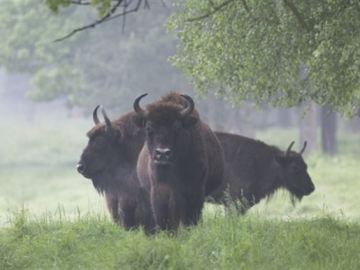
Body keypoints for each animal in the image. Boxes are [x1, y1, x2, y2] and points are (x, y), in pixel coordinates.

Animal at [135, 92, 225, 230]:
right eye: (149, 127)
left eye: (177, 126)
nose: (162, 154)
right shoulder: (160, 189)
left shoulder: (195, 190)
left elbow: (191, 215)